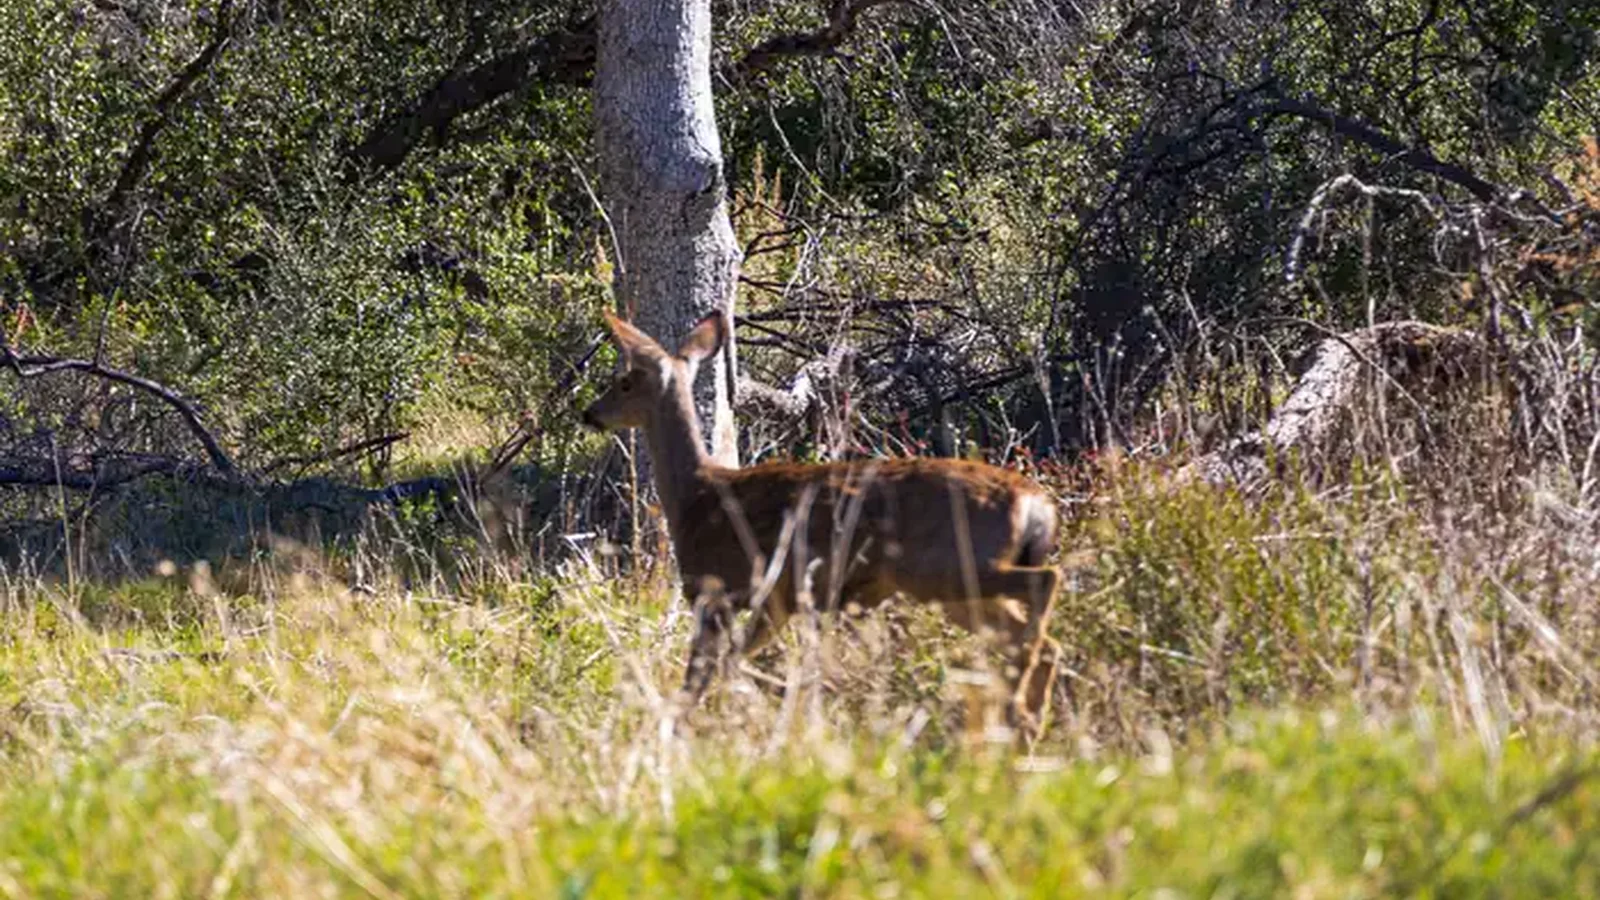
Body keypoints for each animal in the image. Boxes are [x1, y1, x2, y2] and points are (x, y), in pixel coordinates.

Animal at [580, 311, 1063, 739]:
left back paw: (1017, 704)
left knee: (1045, 583)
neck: (696, 495)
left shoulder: (719, 588)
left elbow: (703, 674)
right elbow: (733, 662)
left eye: (624, 382)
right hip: (950, 585)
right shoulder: (779, 599)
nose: (590, 413)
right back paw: (1027, 720)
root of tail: (1037, 505)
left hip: (950, 566)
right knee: (1038, 635)